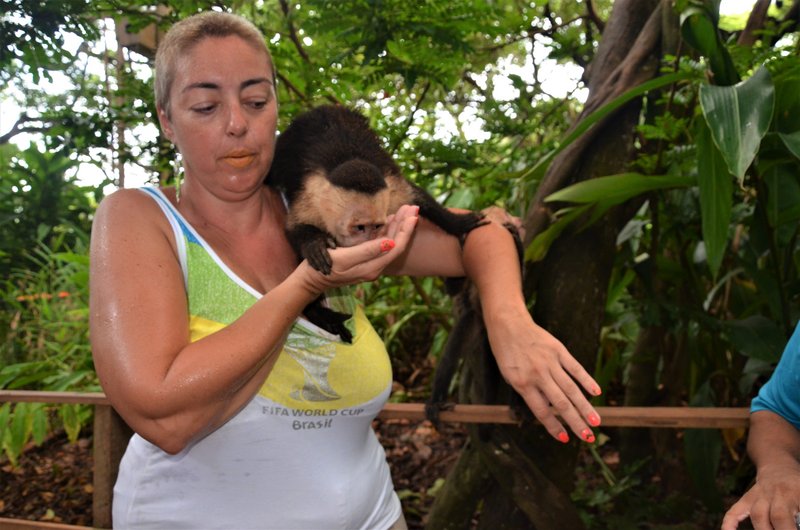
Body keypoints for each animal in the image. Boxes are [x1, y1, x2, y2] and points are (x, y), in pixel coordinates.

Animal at [268, 104, 488, 342]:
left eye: (376, 226)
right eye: (359, 228)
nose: (369, 239)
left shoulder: (393, 193)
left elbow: (419, 199)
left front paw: (459, 222)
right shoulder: (312, 197)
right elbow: (295, 227)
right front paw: (314, 245)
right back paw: (319, 314)